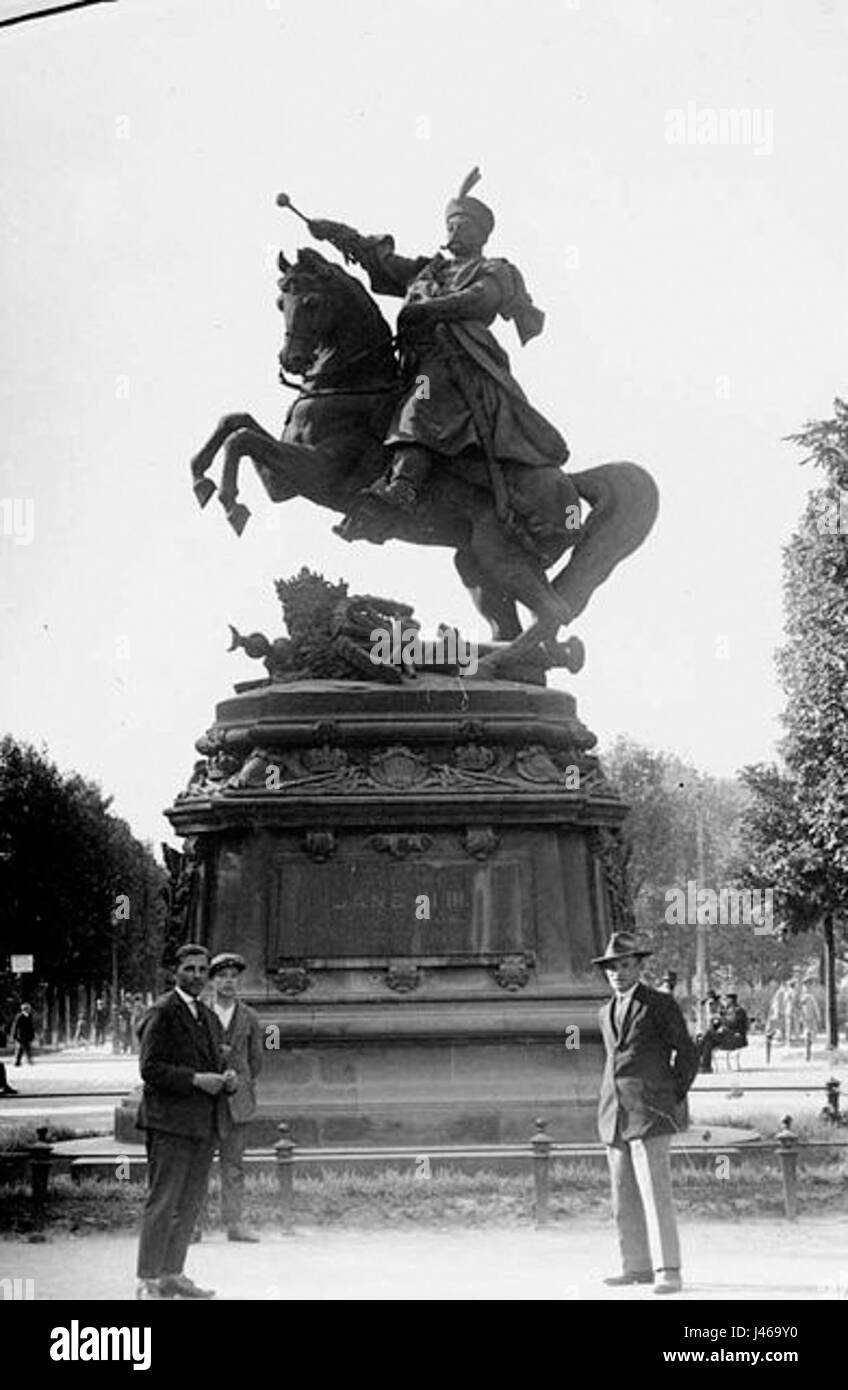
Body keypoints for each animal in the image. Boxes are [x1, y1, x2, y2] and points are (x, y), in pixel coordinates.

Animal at [187, 248, 656, 667]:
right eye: (280, 301)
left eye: (312, 301)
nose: (293, 360)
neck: (353, 383)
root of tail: (570, 483)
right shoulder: (283, 481)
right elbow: (235, 423)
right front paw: (200, 477)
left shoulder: (315, 472)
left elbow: (243, 440)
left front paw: (229, 501)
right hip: (475, 564)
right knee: (519, 626)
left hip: (501, 553)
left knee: (553, 613)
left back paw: (482, 664)